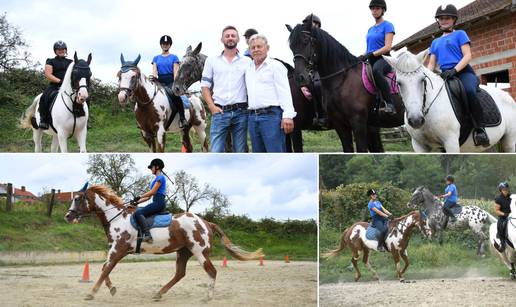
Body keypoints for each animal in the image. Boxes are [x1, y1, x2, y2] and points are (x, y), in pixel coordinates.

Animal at [64, 184, 264, 302]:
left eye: (78, 199)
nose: (68, 216)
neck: (117, 218)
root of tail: (206, 222)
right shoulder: (114, 251)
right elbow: (104, 269)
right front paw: (112, 289)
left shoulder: (118, 250)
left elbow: (106, 269)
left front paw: (91, 293)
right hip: (183, 251)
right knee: (180, 273)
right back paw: (158, 293)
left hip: (199, 252)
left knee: (211, 271)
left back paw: (207, 297)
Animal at [284, 18, 406, 153]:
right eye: (291, 47)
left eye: (305, 41)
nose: (300, 78)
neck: (342, 79)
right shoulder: (340, 124)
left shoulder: (357, 122)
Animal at [382, 50, 516, 154]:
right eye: (399, 83)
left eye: (422, 80)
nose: (416, 120)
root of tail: (508, 96)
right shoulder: (419, 146)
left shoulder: (451, 142)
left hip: (509, 141)